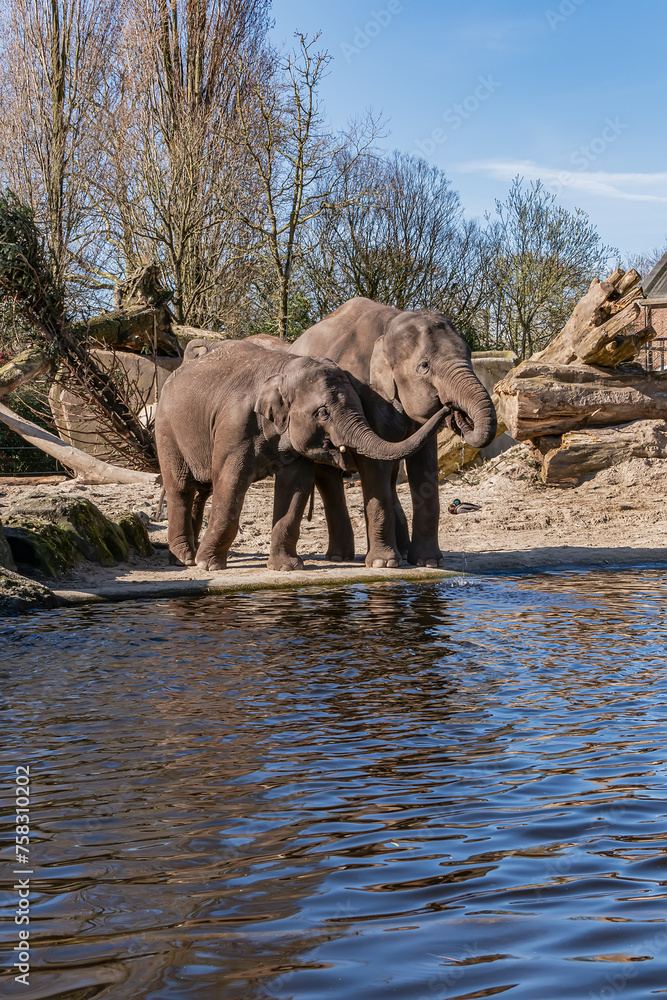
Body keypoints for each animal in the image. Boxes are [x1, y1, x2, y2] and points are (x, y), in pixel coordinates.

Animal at [154, 340, 451, 571]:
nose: (447, 407)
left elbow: (296, 487)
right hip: (166, 428)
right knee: (181, 487)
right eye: (323, 412)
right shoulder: (234, 426)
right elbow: (230, 481)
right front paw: (209, 565)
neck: (284, 368)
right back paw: (185, 559)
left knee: (201, 490)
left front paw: (286, 567)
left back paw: (189, 555)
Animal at [290, 297, 497, 568]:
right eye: (424, 366)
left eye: (469, 355)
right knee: (330, 478)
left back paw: (402, 551)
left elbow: (424, 466)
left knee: (390, 476)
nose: (452, 409)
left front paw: (428, 562)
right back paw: (340, 557)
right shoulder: (365, 394)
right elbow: (374, 465)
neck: (390, 324)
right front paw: (383, 564)